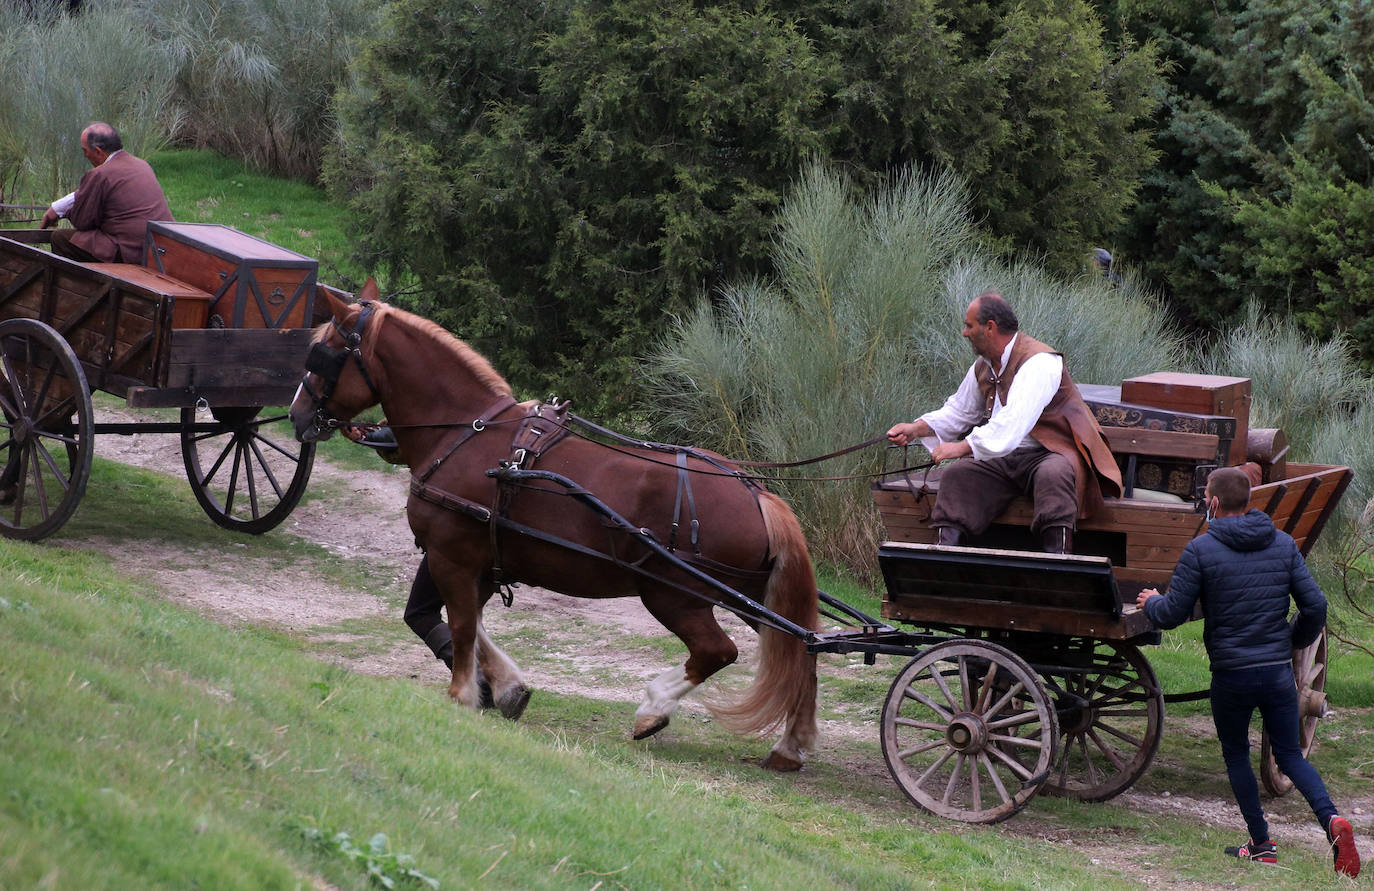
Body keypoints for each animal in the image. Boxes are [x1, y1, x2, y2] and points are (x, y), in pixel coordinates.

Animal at [291, 281, 818, 770]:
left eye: (325, 354)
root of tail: (757, 493)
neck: (462, 434)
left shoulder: (450, 556)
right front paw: (504, 688)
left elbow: (460, 625)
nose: (297, 415)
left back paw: (654, 708)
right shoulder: (477, 562)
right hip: (750, 596)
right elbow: (459, 623)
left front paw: (462, 696)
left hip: (673, 594)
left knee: (718, 652)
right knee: (803, 650)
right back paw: (790, 745)